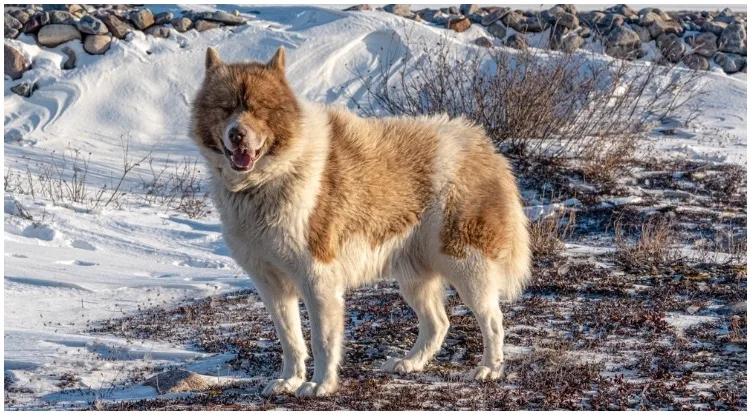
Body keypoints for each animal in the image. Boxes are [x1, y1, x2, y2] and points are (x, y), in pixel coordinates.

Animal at [191, 47, 532, 398]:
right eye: (226, 108)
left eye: (259, 109)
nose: (237, 134)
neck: (269, 177)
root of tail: (484, 146)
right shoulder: (271, 285)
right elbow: (290, 340)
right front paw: (290, 380)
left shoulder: (318, 279)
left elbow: (323, 341)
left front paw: (320, 385)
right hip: (414, 277)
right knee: (439, 323)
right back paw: (410, 363)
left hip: (466, 266)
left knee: (492, 321)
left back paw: (489, 369)